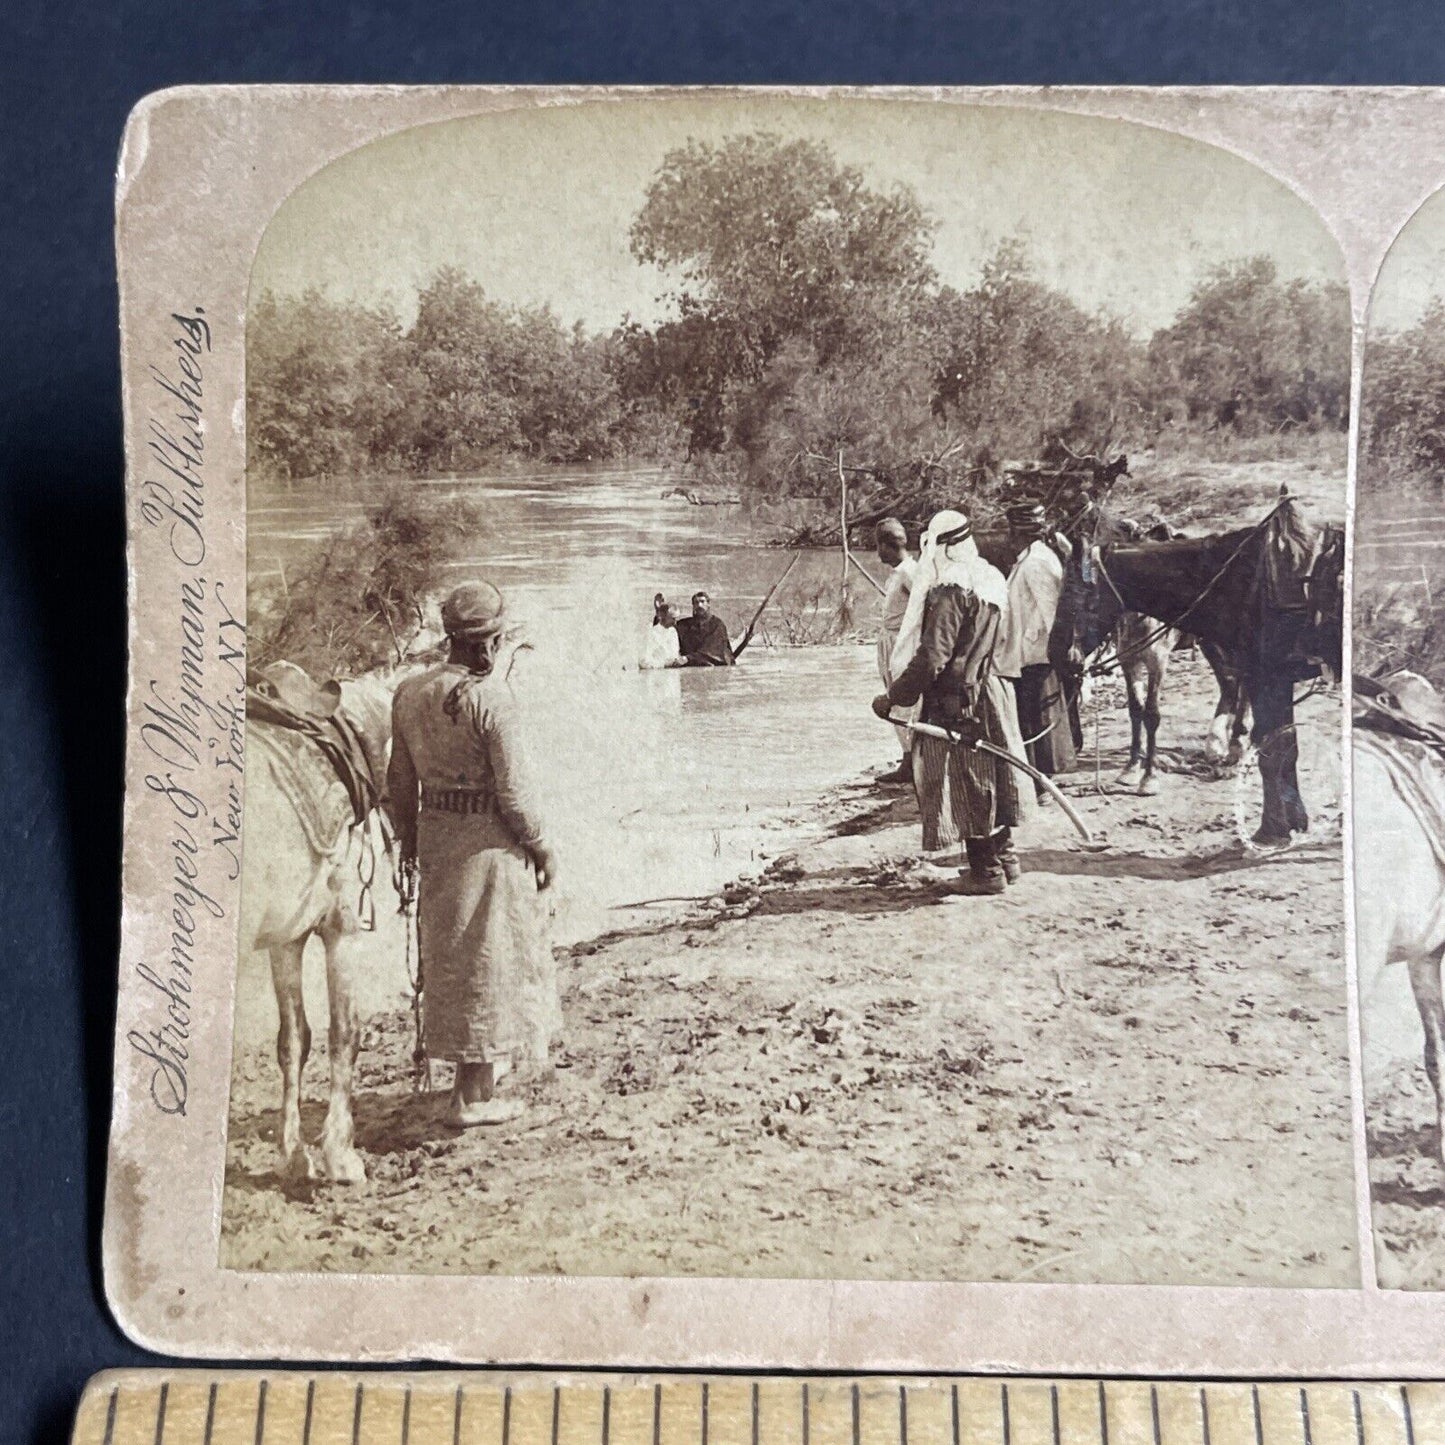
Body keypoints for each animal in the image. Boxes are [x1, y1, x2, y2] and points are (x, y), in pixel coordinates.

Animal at [1046, 494, 1335, 843]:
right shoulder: (1131, 662)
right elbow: (1135, 710)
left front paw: (1149, 778)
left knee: (1234, 686)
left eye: (1071, 597)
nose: (1054, 653)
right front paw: (1132, 768)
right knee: (1230, 684)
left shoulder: (1161, 660)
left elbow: (1153, 714)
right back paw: (1225, 742)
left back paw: (1230, 742)